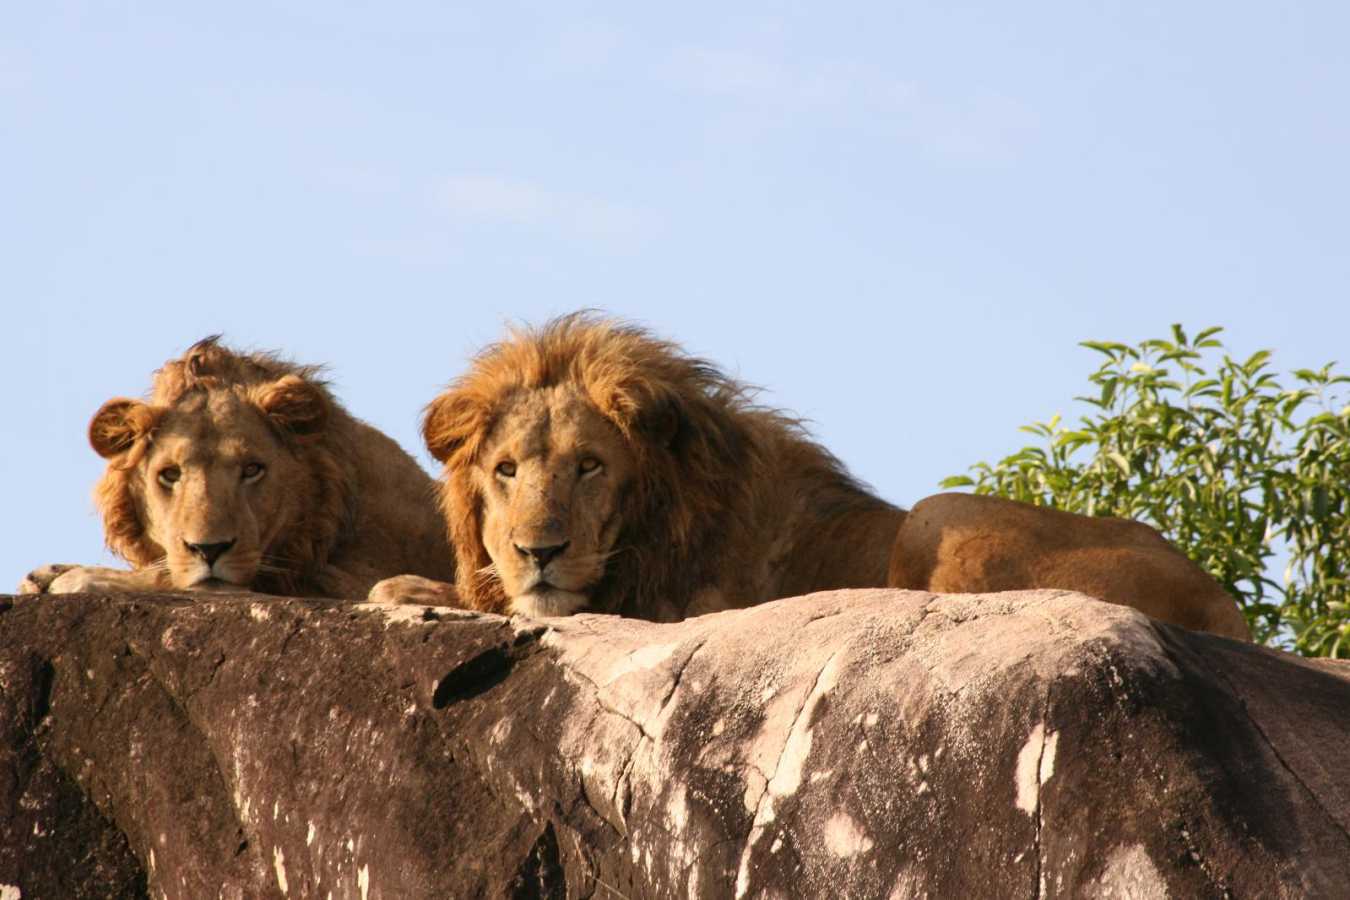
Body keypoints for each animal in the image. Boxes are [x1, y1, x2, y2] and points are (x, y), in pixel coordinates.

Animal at [19, 337, 456, 600]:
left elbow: (171, 575)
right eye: (170, 474)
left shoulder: (335, 578)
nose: (209, 549)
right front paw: (48, 572)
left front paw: (80, 578)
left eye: (252, 469)